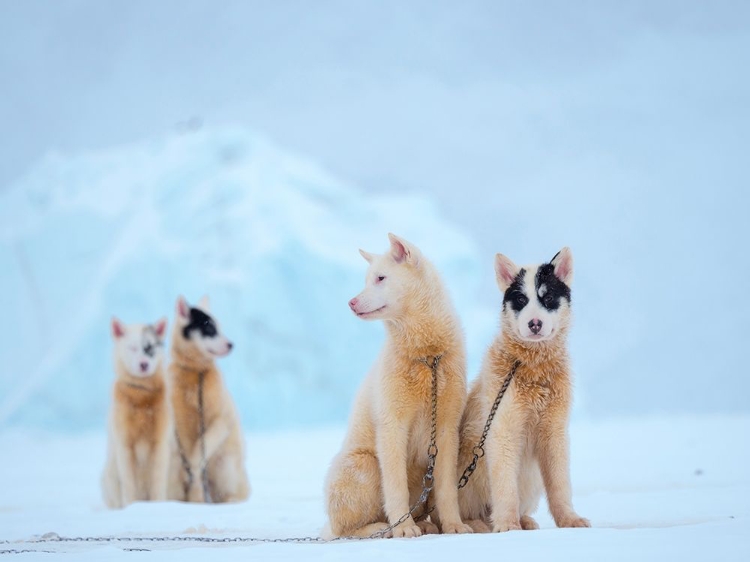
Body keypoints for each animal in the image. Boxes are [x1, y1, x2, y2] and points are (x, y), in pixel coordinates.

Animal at [100, 316, 169, 508]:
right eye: (132, 347)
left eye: (150, 347)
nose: (144, 364)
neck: (141, 398)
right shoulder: (125, 444)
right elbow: (129, 484)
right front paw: (132, 508)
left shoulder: (159, 444)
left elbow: (158, 483)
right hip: (109, 475)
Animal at [167, 296, 250, 500]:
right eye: (209, 328)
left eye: (219, 327)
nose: (231, 344)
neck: (195, 371)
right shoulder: (180, 422)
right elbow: (189, 453)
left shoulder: (220, 418)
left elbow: (202, 448)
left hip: (225, 465)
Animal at [324, 233, 476, 540]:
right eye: (367, 279)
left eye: (380, 278)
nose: (351, 303)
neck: (426, 356)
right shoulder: (392, 425)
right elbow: (395, 487)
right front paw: (404, 528)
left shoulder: (446, 428)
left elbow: (447, 488)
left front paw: (454, 525)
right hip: (365, 465)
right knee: (345, 529)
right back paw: (383, 528)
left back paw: (425, 524)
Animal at [458, 247, 592, 532]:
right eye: (520, 299)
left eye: (548, 297)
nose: (535, 323)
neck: (532, 366)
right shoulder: (503, 429)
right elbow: (505, 487)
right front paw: (508, 525)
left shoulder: (554, 431)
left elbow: (560, 485)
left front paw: (569, 520)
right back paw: (479, 524)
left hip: (531, 478)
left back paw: (526, 520)